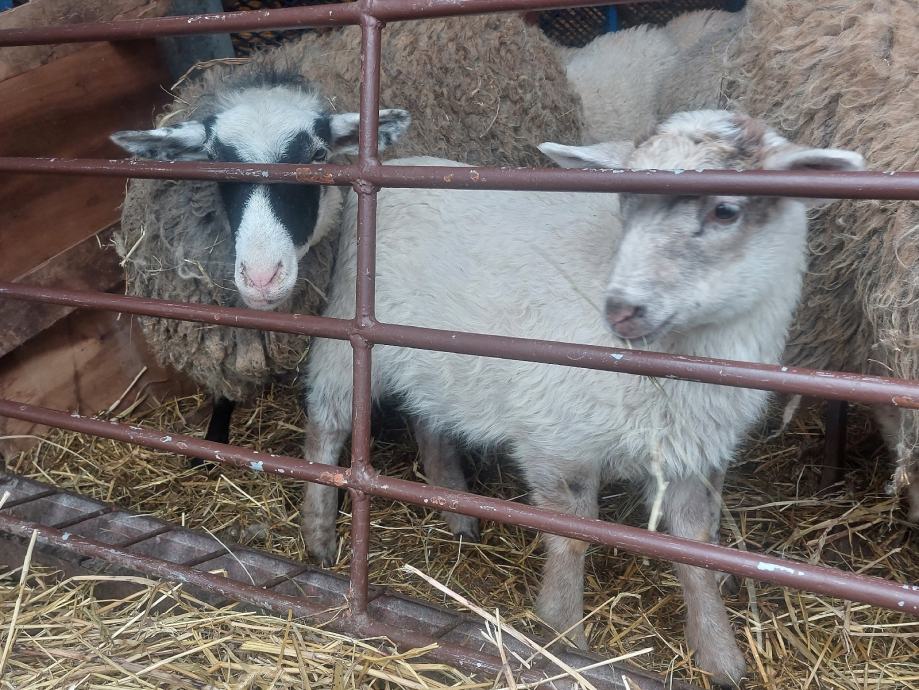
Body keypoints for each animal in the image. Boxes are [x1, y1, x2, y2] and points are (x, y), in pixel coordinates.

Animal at [301, 110, 865, 687]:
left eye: (726, 209)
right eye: (625, 202)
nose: (619, 309)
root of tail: (403, 165)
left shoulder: (690, 453)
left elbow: (696, 550)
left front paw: (720, 656)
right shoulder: (556, 439)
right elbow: (570, 538)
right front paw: (566, 637)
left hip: (436, 361)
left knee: (432, 423)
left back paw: (456, 513)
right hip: (349, 334)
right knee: (328, 423)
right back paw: (319, 533)